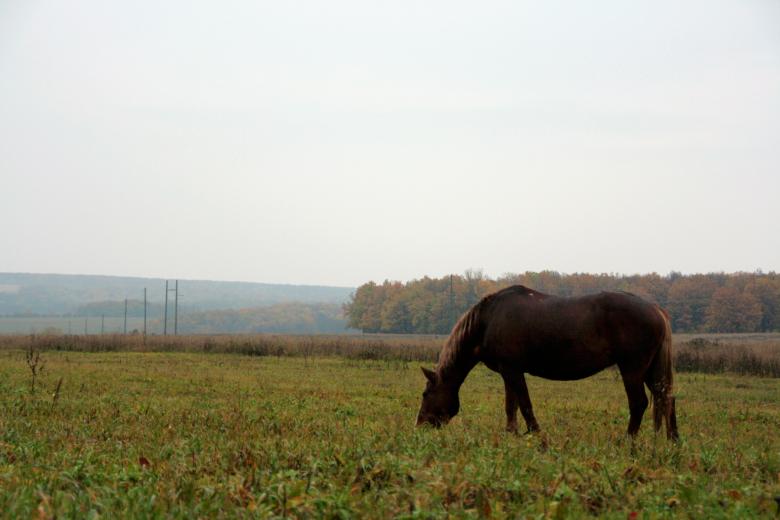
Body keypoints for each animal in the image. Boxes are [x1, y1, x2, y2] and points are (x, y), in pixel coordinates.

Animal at [416, 285, 679, 440]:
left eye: (425, 394)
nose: (420, 426)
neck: (487, 320)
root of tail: (656, 310)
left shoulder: (513, 370)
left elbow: (524, 405)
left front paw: (536, 435)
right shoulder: (507, 371)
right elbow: (511, 406)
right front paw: (511, 435)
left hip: (632, 368)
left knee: (639, 403)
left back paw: (628, 441)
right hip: (650, 370)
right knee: (667, 398)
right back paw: (671, 440)